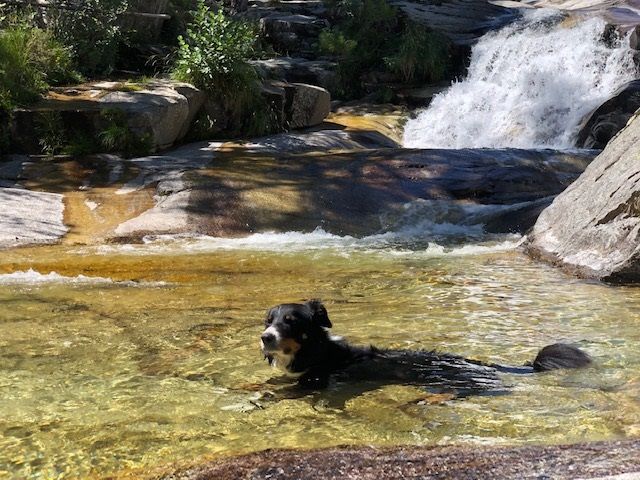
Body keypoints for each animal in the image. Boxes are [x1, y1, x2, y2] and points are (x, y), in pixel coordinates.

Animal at [258, 300, 592, 398]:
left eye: (290, 322)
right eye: (268, 320)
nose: (265, 337)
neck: (316, 351)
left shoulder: (313, 383)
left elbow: (281, 390)